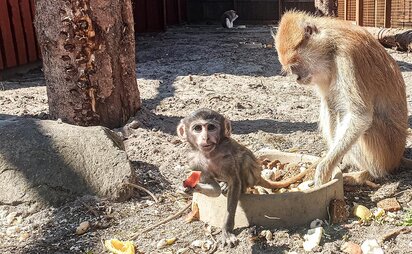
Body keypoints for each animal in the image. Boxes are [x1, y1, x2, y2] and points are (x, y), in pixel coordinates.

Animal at [175, 108, 308, 246]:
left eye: (211, 127)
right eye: (197, 128)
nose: (206, 137)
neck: (210, 155)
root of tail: (258, 176)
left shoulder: (226, 156)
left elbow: (235, 183)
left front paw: (227, 230)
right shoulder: (195, 162)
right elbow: (215, 189)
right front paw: (190, 188)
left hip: (253, 173)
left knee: (244, 158)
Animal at [274, 10, 408, 187]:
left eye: (295, 65)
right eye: (291, 68)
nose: (297, 78)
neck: (330, 45)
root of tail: (397, 157)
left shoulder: (347, 55)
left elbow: (360, 117)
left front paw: (324, 169)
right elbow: (330, 103)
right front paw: (333, 163)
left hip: (384, 151)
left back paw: (367, 174)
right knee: (331, 107)